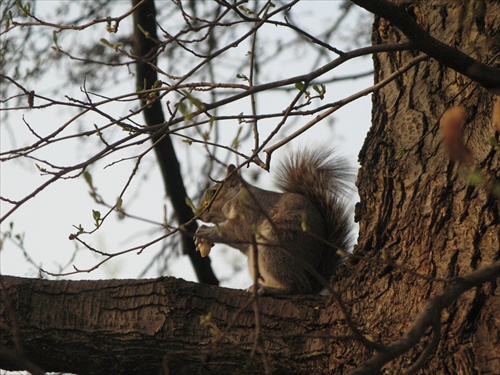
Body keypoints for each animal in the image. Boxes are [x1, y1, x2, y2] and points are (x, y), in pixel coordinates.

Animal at [193, 148, 354, 296]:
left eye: (214, 192)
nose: (198, 214)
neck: (236, 197)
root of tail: (313, 282)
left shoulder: (251, 212)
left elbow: (238, 230)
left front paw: (206, 231)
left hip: (274, 249)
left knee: (298, 286)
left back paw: (267, 289)